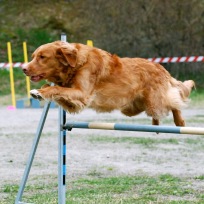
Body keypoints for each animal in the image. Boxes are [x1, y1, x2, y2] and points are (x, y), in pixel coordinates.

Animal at [22, 41, 194, 126]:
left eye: (42, 57)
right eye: (33, 56)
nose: (24, 68)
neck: (76, 64)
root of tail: (161, 68)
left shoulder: (82, 93)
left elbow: (56, 88)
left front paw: (39, 92)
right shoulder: (74, 101)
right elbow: (56, 89)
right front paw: (40, 91)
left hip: (155, 103)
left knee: (174, 101)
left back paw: (179, 122)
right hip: (133, 107)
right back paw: (155, 124)